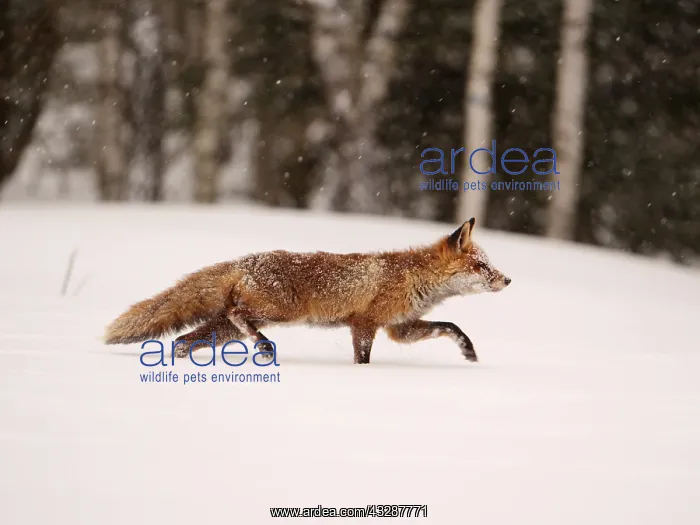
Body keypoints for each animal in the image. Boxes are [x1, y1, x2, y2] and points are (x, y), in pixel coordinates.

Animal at [104, 218, 511, 364]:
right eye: (482, 267)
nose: (507, 280)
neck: (412, 278)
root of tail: (244, 260)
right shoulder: (364, 323)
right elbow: (363, 358)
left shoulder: (401, 328)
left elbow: (451, 327)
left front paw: (469, 353)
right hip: (278, 312)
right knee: (239, 314)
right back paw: (265, 347)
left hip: (224, 332)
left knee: (181, 341)